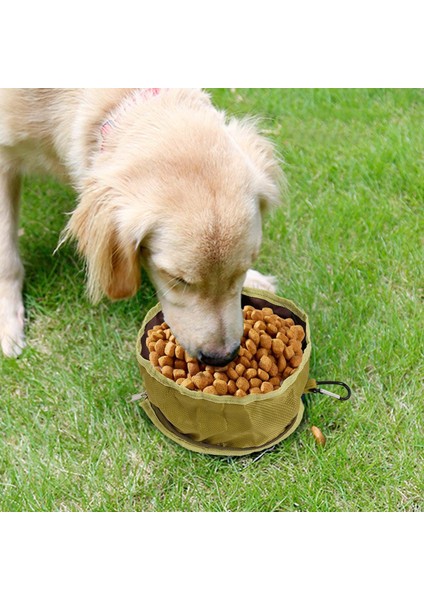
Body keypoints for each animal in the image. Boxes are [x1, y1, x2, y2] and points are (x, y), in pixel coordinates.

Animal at [0, 86, 284, 364]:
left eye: (243, 269)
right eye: (177, 279)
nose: (222, 358)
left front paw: (255, 279)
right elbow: (7, 258)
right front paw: (9, 320)